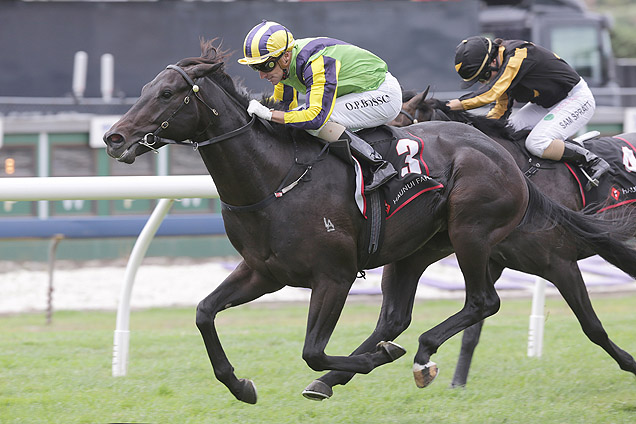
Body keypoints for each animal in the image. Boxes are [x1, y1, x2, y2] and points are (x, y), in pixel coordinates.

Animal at [390, 89, 636, 388]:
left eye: (401, 137)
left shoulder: (561, 264)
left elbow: (593, 327)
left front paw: (631, 364)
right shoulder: (492, 260)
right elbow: (472, 331)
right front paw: (457, 382)